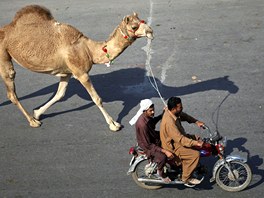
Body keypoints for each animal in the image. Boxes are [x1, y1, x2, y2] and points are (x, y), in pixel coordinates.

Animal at [0, 4, 154, 131]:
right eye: (134, 27)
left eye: (143, 21)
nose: (150, 31)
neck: (89, 50)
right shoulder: (81, 73)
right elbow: (97, 98)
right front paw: (114, 124)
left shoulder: (67, 73)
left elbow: (60, 94)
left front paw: (37, 113)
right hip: (3, 54)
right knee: (11, 92)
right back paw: (32, 122)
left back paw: (33, 118)